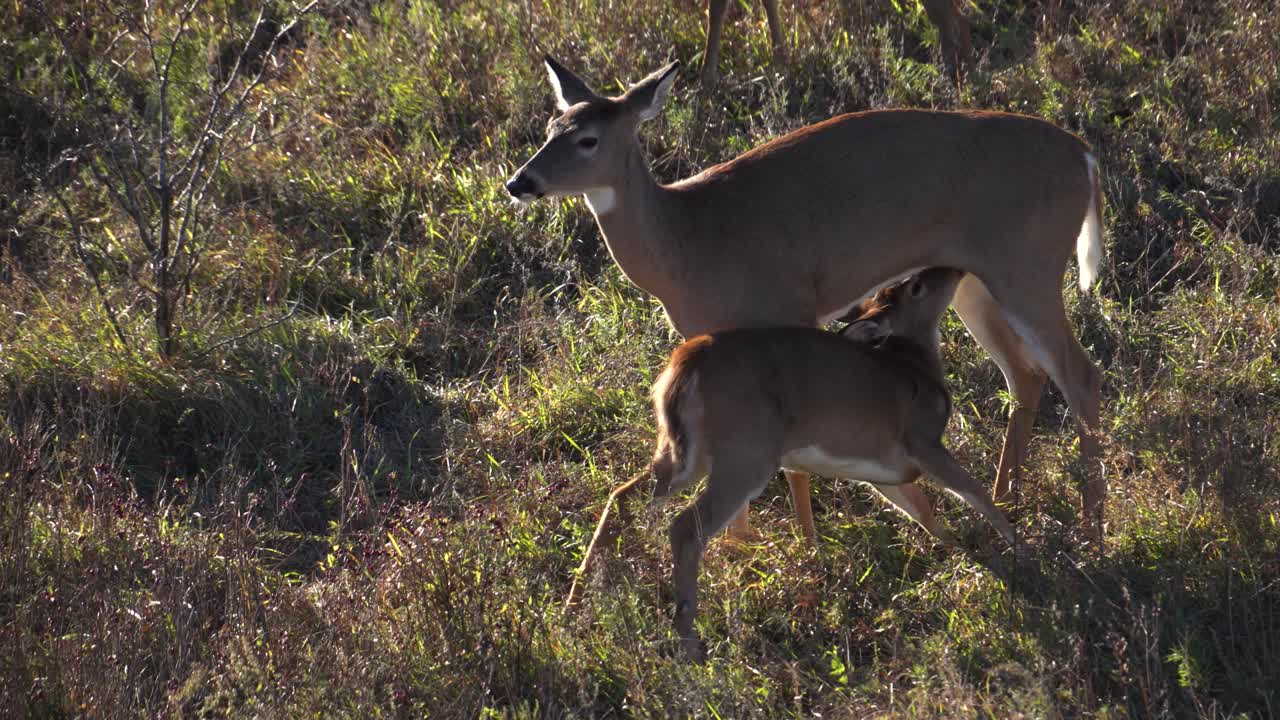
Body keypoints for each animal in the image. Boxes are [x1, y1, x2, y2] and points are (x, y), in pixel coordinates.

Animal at [506, 56, 1105, 548]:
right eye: (551, 127)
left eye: (587, 139)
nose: (519, 182)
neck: (684, 239)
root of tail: (1084, 154)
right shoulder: (707, 336)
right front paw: (742, 547)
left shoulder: (789, 310)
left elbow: (793, 458)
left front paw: (803, 545)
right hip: (973, 280)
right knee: (1025, 374)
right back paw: (1011, 497)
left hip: (1027, 266)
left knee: (1080, 374)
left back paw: (1090, 527)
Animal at [565, 267, 1016, 660]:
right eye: (916, 286)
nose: (952, 269)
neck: (916, 368)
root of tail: (681, 366)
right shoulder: (923, 440)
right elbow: (974, 492)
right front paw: (1019, 547)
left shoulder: (886, 472)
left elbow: (924, 513)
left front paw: (963, 553)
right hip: (746, 453)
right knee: (685, 527)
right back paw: (690, 643)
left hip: (683, 455)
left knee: (623, 495)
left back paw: (576, 600)